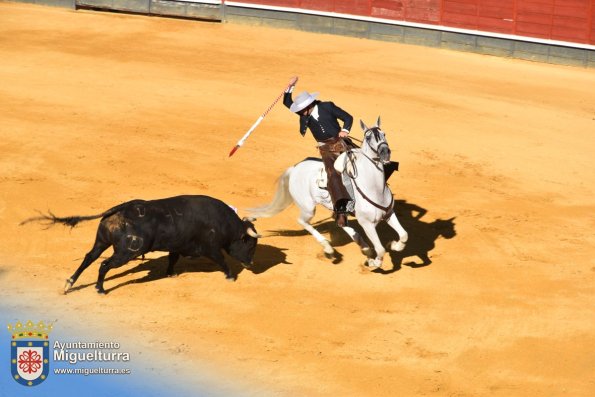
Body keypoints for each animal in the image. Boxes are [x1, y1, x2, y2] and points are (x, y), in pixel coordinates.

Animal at [22, 196, 260, 294]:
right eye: (250, 246)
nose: (250, 264)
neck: (224, 224)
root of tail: (118, 210)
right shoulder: (211, 248)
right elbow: (222, 260)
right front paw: (230, 276)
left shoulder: (176, 245)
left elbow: (173, 258)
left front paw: (170, 273)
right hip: (125, 253)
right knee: (104, 265)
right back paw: (100, 288)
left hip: (101, 242)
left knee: (89, 258)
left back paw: (69, 284)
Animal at [248, 116, 410, 268]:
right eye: (369, 137)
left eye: (384, 134)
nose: (385, 152)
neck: (375, 188)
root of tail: (295, 168)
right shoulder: (367, 223)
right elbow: (381, 249)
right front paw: (374, 263)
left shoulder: (389, 214)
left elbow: (404, 235)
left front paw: (394, 245)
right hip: (308, 207)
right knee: (303, 221)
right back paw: (329, 248)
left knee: (340, 222)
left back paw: (364, 248)